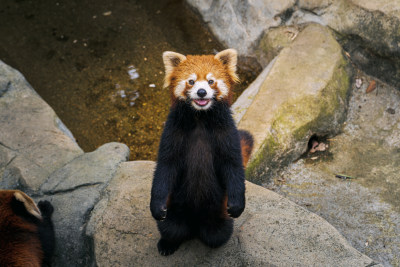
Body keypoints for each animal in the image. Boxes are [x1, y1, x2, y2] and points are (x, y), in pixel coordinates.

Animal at [150, 49, 253, 256]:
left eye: (211, 81)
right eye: (191, 81)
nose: (202, 92)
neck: (200, 117)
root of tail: (195, 225)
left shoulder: (227, 132)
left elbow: (233, 165)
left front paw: (237, 204)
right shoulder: (172, 131)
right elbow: (165, 166)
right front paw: (156, 206)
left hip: (217, 215)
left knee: (216, 235)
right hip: (176, 209)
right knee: (172, 228)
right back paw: (167, 244)